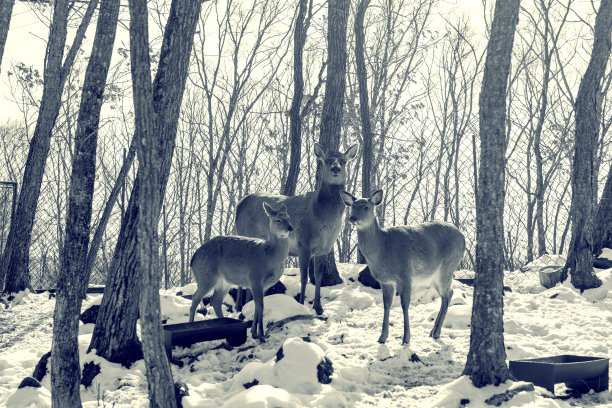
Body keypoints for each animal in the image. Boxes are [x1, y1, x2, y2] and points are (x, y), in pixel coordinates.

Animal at [189, 202, 294, 340]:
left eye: (289, 217)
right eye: (278, 220)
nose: (290, 228)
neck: (269, 256)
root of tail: (192, 260)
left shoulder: (265, 285)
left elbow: (257, 306)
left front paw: (254, 332)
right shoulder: (255, 277)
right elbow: (260, 305)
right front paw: (261, 334)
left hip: (224, 281)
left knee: (215, 300)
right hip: (206, 276)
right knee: (195, 298)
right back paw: (190, 325)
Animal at [234, 143, 358, 316]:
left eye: (343, 161)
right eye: (326, 161)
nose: (335, 168)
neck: (321, 217)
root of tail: (239, 204)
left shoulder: (324, 249)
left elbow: (318, 277)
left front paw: (319, 308)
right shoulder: (303, 242)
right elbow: (304, 277)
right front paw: (301, 304)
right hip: (245, 233)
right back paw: (239, 306)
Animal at [340, 190, 464, 346]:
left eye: (366, 207)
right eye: (352, 206)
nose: (352, 218)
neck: (384, 248)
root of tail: (463, 237)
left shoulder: (404, 274)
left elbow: (405, 305)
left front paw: (405, 339)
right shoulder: (385, 281)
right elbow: (387, 305)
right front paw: (382, 337)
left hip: (448, 266)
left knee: (447, 295)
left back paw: (436, 333)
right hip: (433, 276)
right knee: (448, 294)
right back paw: (433, 332)